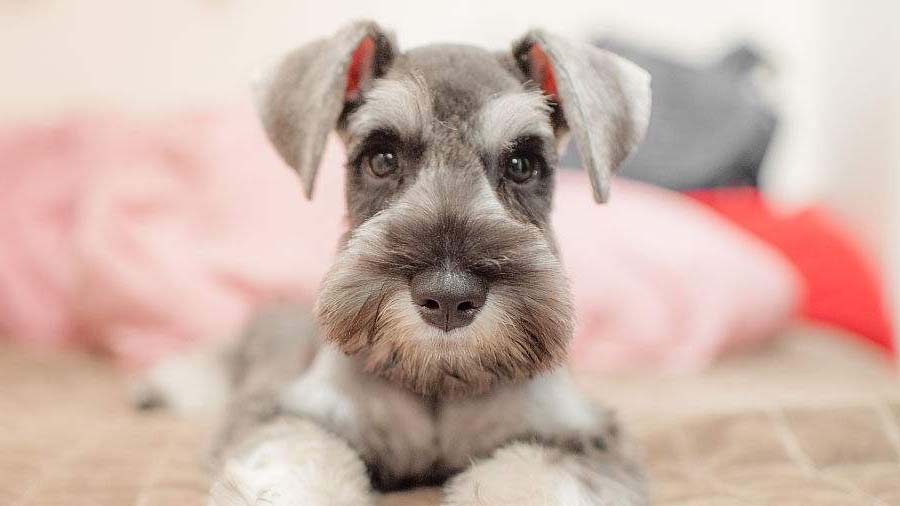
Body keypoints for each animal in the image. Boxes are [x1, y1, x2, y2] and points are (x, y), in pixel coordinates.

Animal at [197, 19, 652, 506]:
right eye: (382, 158)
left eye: (521, 163)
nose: (448, 296)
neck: (439, 380)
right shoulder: (291, 415)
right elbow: (297, 459)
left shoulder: (579, 438)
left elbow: (530, 477)